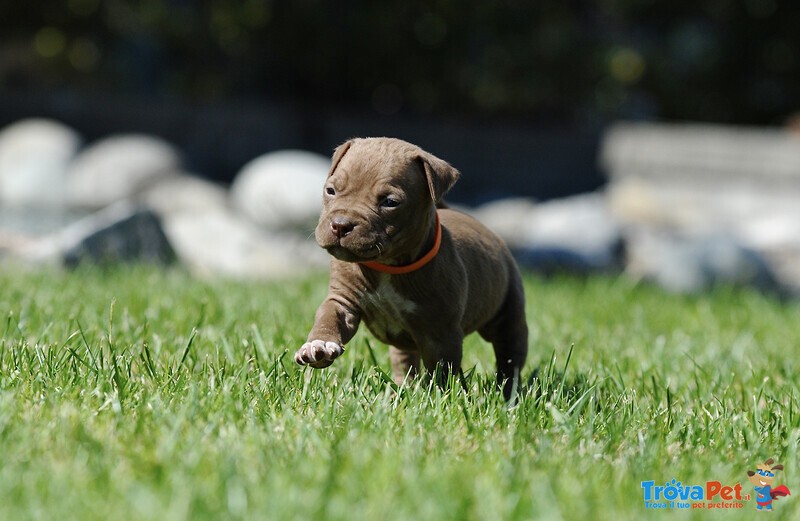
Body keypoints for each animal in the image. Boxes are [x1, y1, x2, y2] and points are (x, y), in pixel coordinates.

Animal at [292, 138, 524, 398]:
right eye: (330, 190)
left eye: (390, 202)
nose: (340, 225)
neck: (387, 266)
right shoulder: (343, 299)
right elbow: (329, 318)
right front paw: (318, 346)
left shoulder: (441, 333)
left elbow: (443, 370)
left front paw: (441, 397)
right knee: (405, 360)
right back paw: (403, 387)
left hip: (509, 313)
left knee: (510, 357)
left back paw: (510, 394)